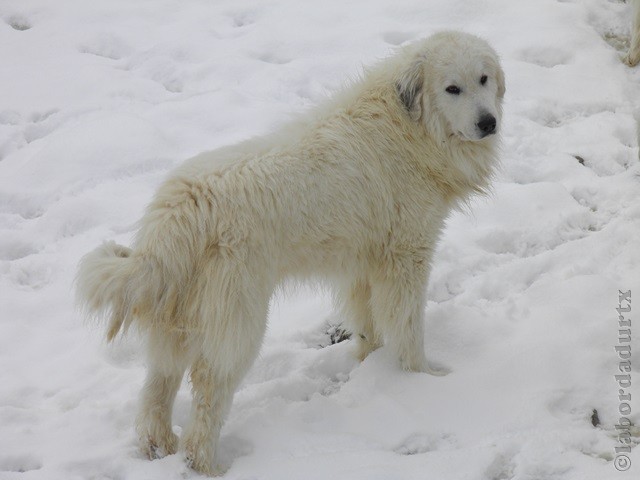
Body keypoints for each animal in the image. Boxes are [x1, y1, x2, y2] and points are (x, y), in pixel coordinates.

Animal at [75, 31, 504, 476]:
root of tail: (181, 208)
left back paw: (157, 446)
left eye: (484, 79)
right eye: (452, 89)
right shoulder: (407, 257)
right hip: (240, 317)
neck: (410, 126)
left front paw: (371, 368)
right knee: (209, 387)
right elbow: (407, 329)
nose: (488, 122)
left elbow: (368, 325)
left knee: (157, 385)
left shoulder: (364, 264)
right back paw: (206, 464)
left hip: (177, 313)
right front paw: (422, 380)